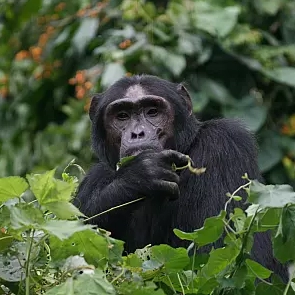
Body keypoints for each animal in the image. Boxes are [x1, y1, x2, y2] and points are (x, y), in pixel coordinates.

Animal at [74, 74, 290, 282]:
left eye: (152, 112)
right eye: (122, 116)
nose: (137, 133)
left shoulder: (224, 145)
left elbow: (222, 260)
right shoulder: (95, 177)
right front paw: (139, 175)